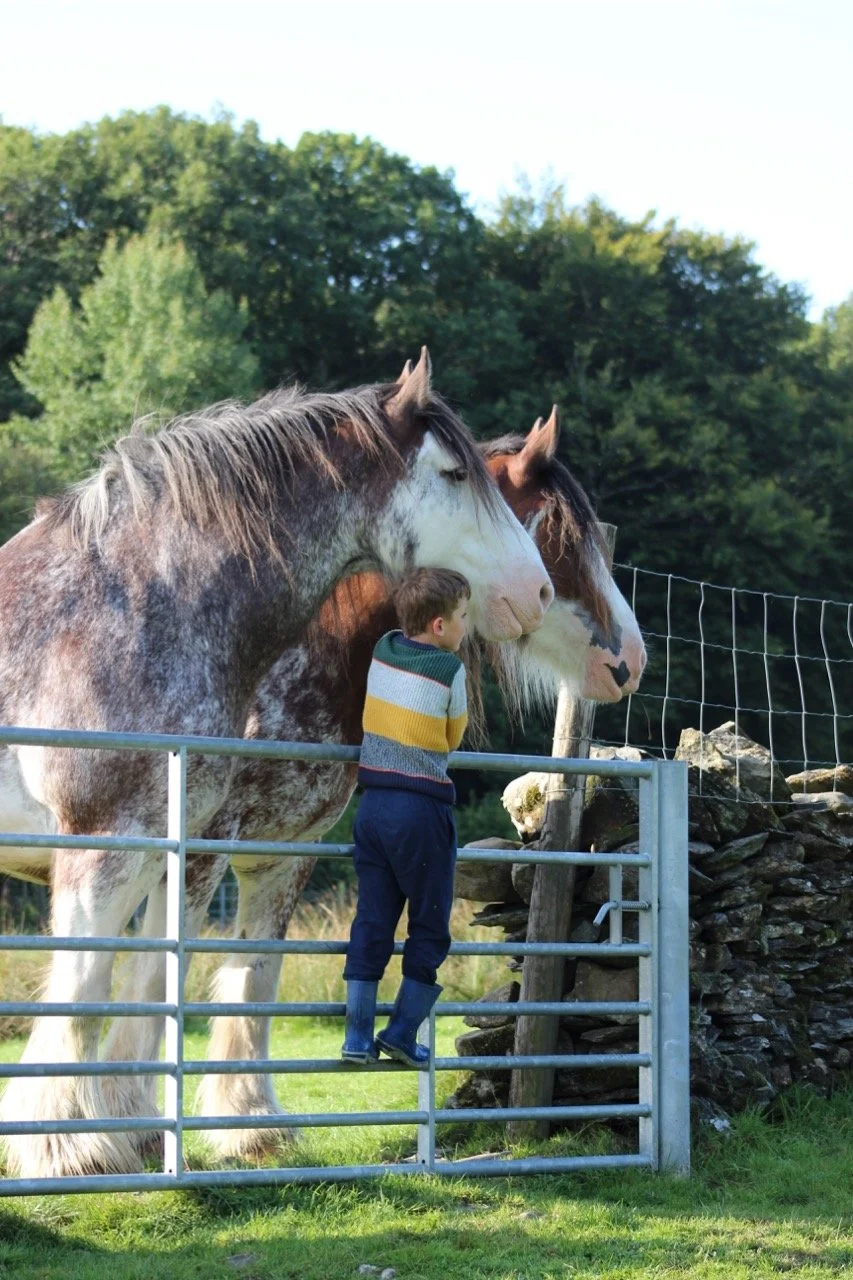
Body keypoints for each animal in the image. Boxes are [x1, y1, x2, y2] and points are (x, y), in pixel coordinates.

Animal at [0, 349, 555, 1179]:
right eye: (455, 473)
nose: (537, 592)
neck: (131, 611)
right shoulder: (102, 842)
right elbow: (84, 985)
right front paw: (68, 1148)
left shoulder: (169, 844)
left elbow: (143, 981)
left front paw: (123, 1132)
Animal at [94, 401, 646, 1161]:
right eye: (560, 535)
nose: (631, 660)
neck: (291, 665)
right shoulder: (200, 845)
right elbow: (161, 976)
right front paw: (137, 1124)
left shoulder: (284, 852)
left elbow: (252, 975)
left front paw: (248, 1127)